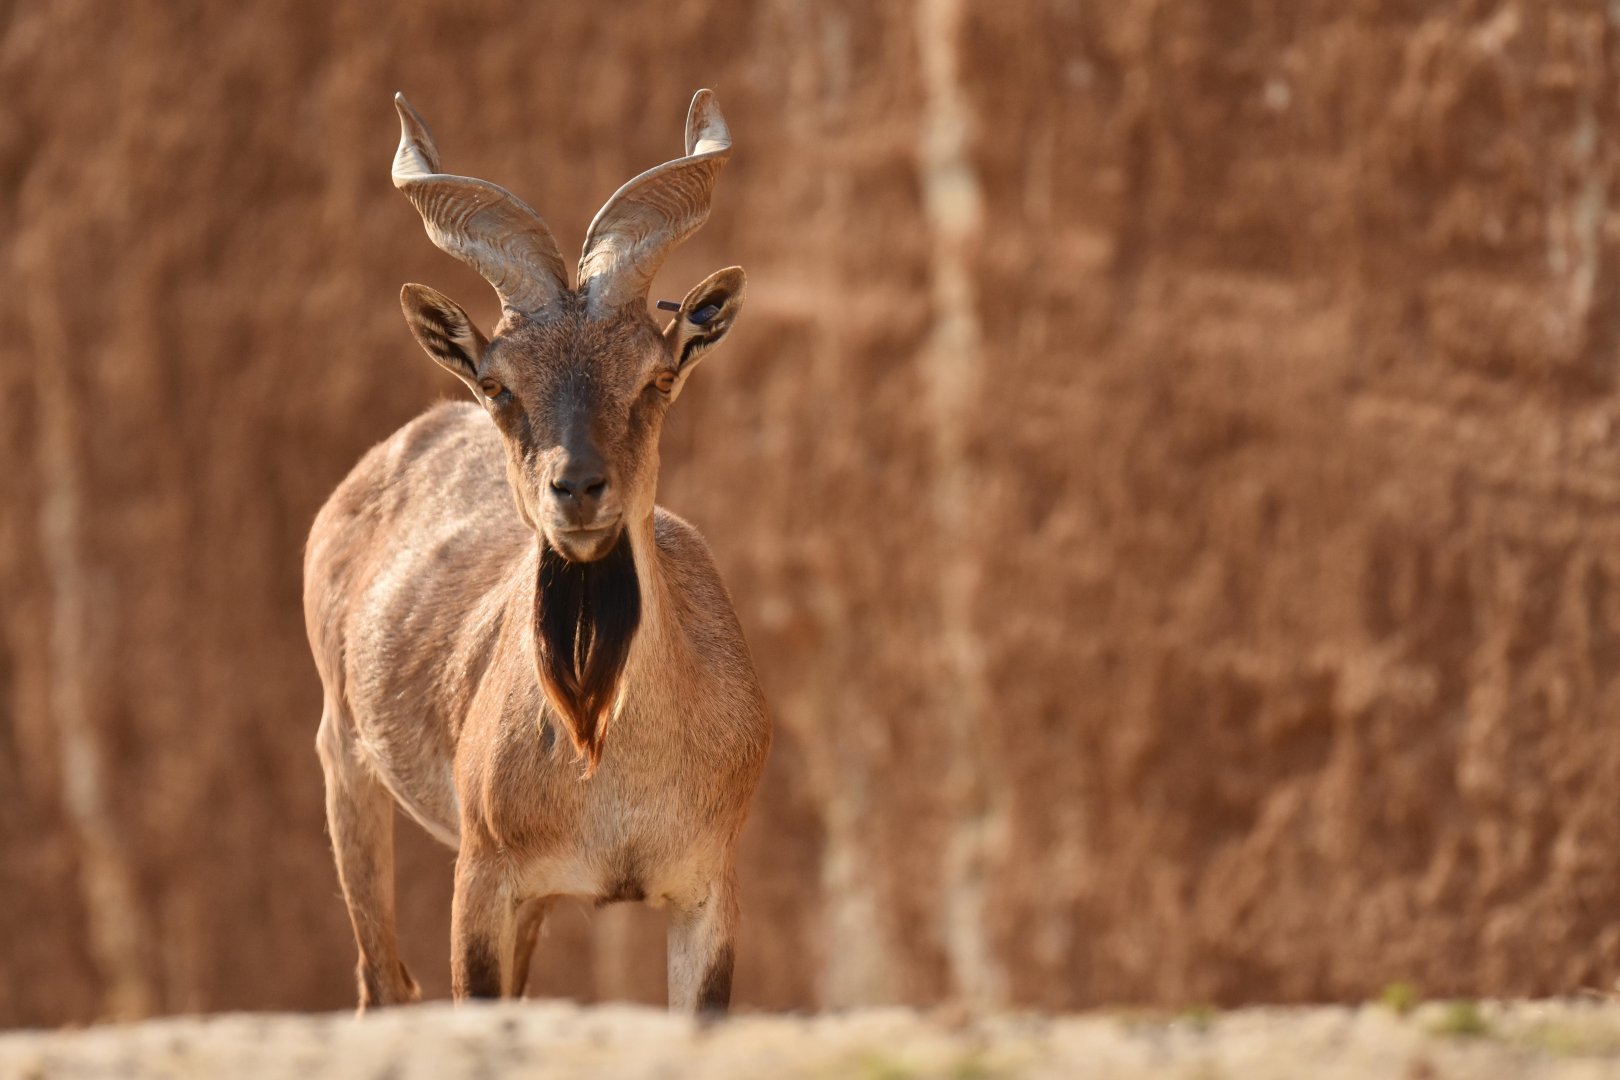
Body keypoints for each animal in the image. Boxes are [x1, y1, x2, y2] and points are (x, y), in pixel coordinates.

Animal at [303, 90, 770, 1014]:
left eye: (658, 376)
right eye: (500, 384)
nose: (577, 489)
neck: (606, 765)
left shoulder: (706, 890)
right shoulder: (486, 880)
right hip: (346, 761)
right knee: (384, 981)